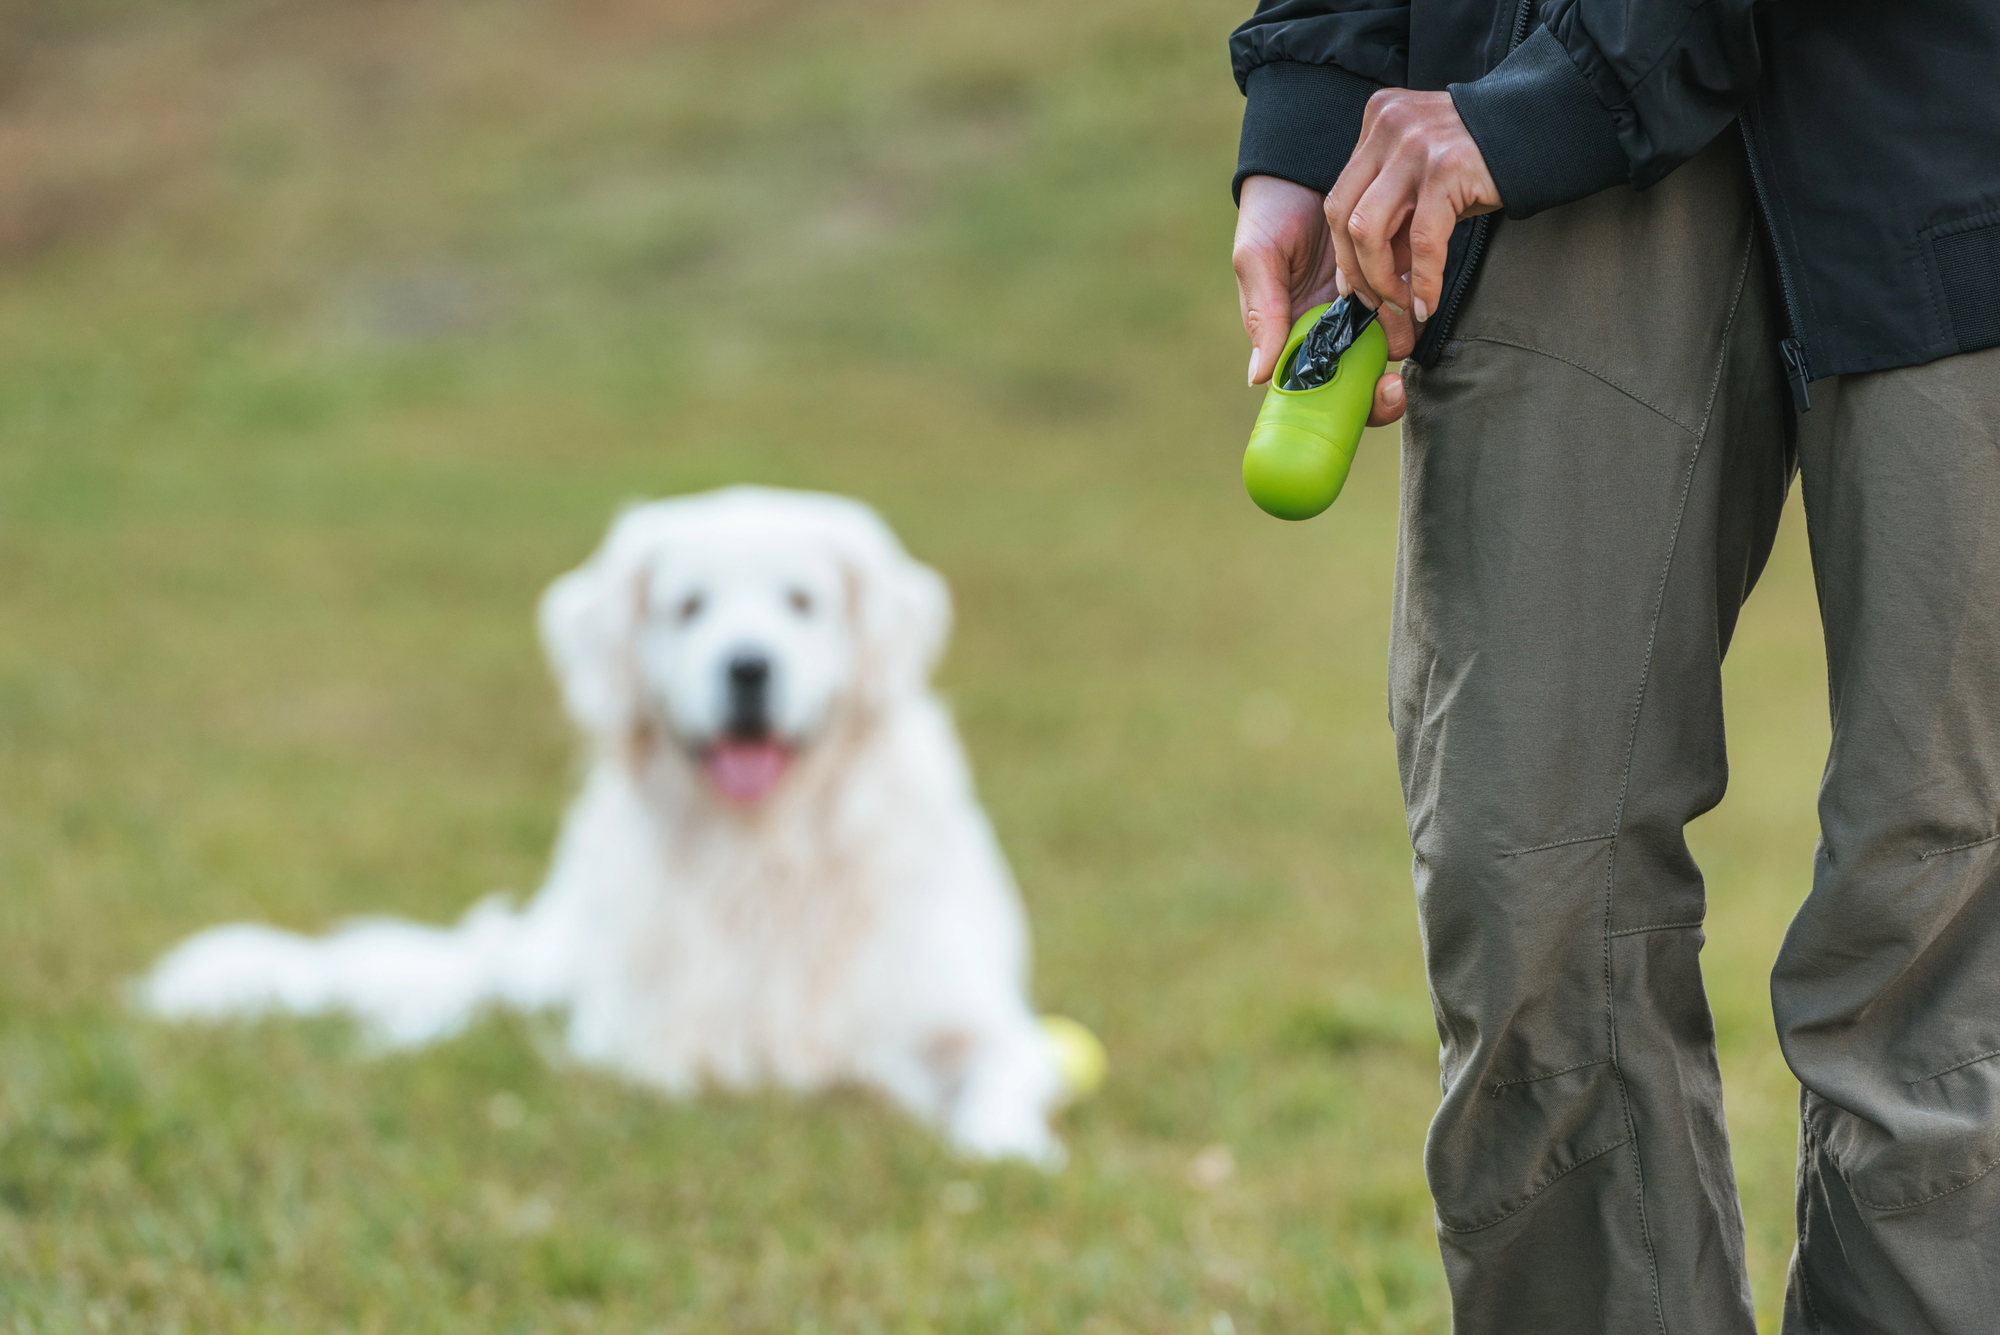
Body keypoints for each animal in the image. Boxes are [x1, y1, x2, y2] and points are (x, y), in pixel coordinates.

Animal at [143, 485, 1072, 1159]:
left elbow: (1001, 1074)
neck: (764, 856)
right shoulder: (642, 1040)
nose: (748, 666)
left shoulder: (982, 1019)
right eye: (688, 606)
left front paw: (1002, 1144)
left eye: (803, 601)